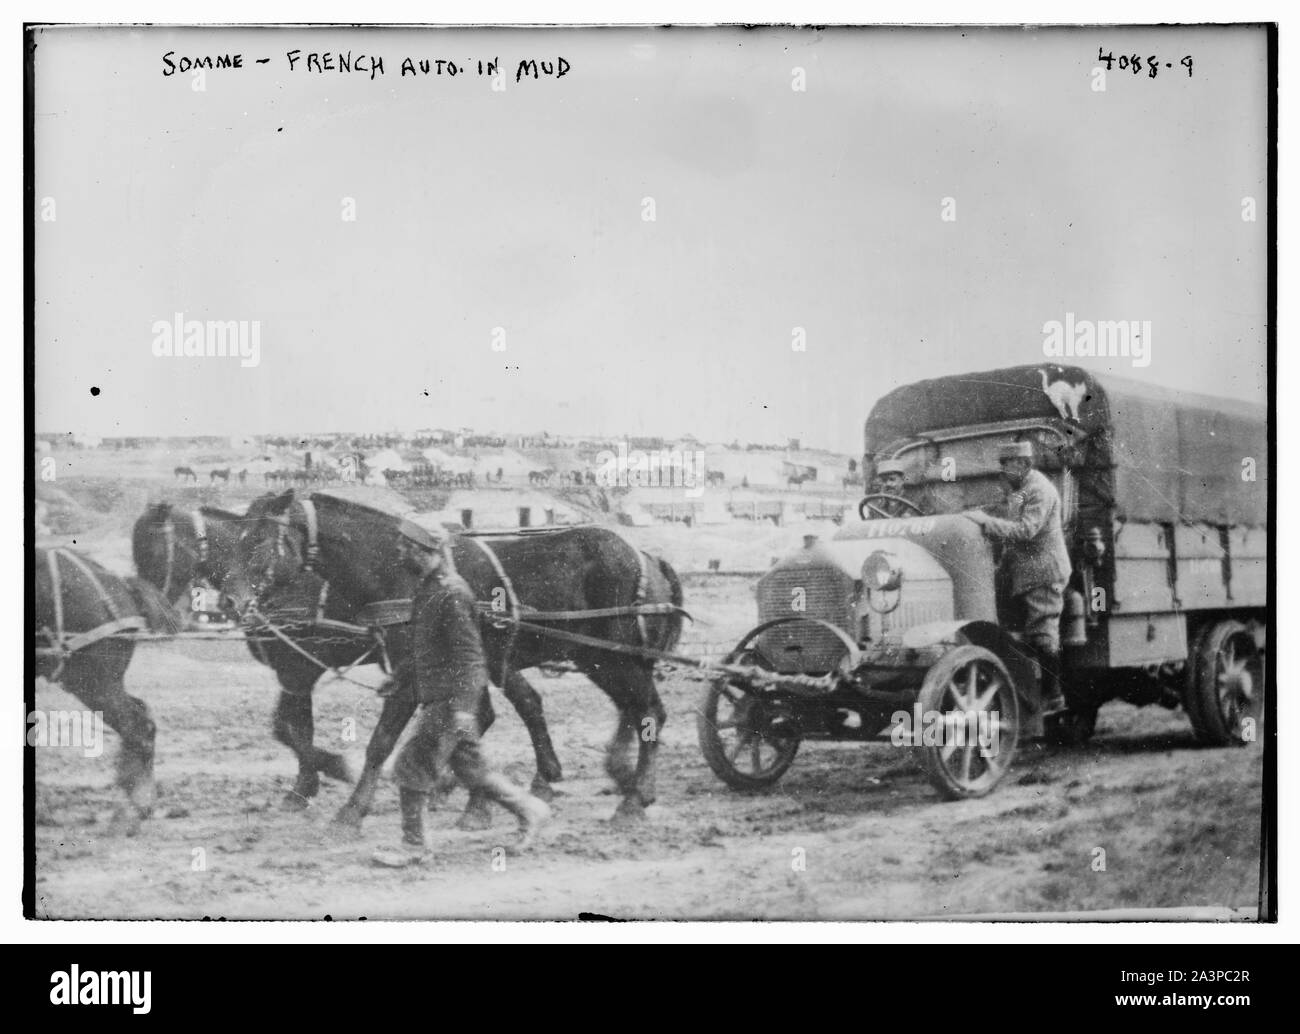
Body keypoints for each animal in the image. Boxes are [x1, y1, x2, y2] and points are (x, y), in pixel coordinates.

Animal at [220, 491, 691, 832]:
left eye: (258, 541)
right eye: (233, 541)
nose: (230, 601)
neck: (403, 574)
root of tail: (648, 558)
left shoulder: (405, 675)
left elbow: (380, 742)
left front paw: (351, 809)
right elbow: (468, 728)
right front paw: (470, 802)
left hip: (613, 658)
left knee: (649, 711)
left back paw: (632, 800)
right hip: (602, 660)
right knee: (631, 710)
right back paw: (619, 777)